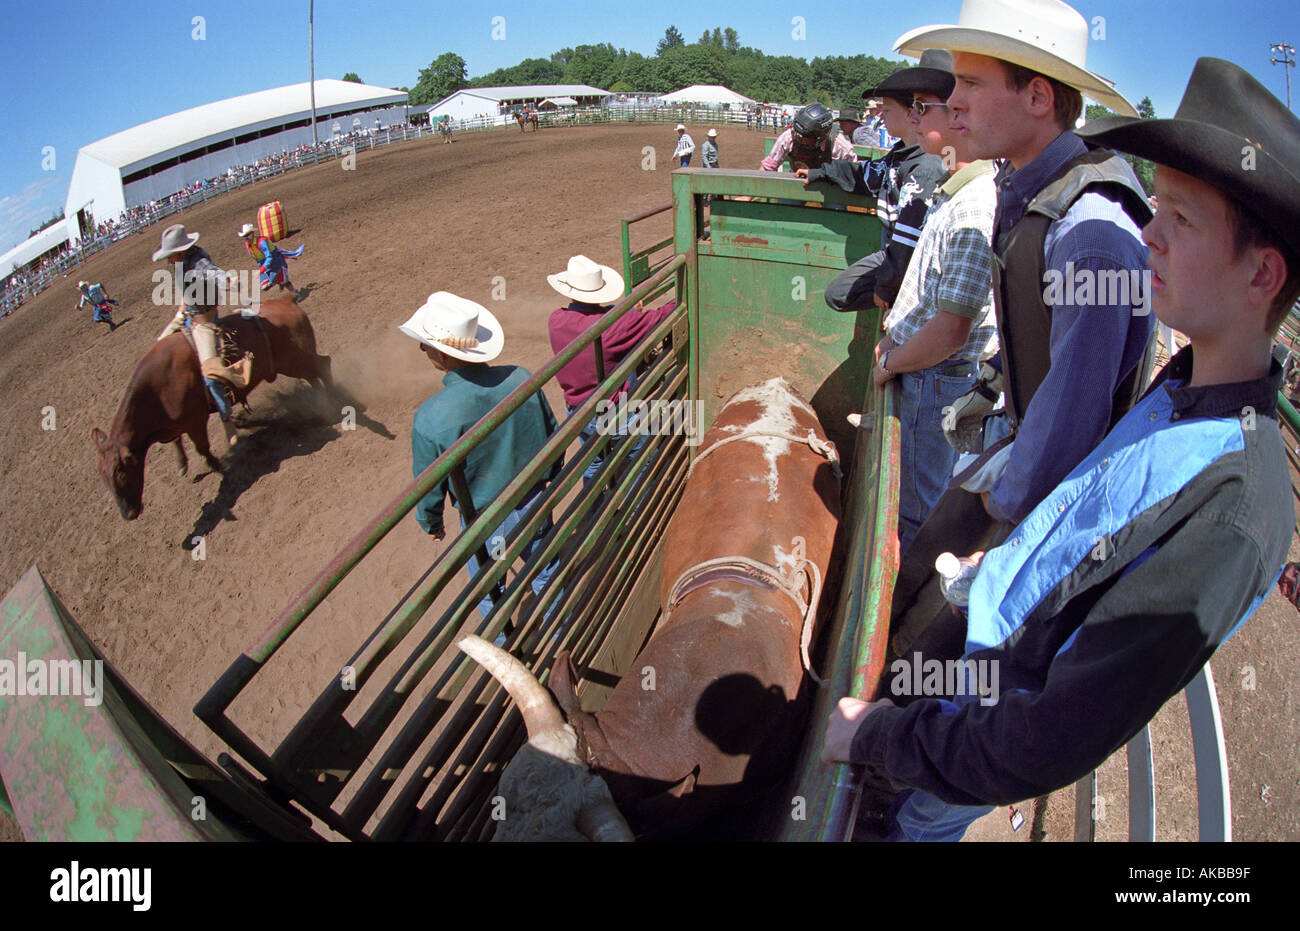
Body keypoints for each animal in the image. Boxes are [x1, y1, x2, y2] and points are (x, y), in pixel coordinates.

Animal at [91, 295, 332, 520]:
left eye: (122, 473)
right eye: (102, 478)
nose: (128, 513)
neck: (155, 392)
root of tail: (285, 300)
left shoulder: (195, 421)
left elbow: (202, 447)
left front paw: (219, 465)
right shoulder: (173, 426)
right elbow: (177, 442)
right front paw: (182, 464)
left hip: (296, 360)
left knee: (324, 365)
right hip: (296, 363)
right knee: (315, 375)